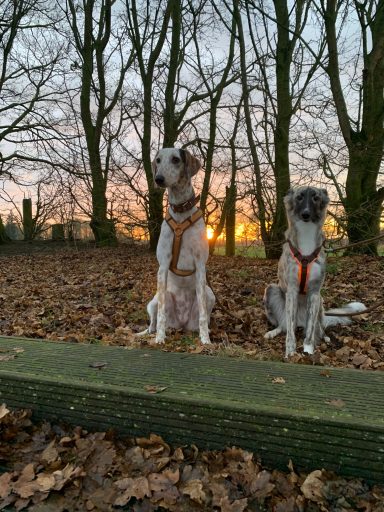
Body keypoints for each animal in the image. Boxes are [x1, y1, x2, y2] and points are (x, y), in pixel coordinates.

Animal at [264, 186, 366, 358]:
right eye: (299, 197)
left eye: (316, 198)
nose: (306, 214)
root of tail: (300, 321)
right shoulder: (291, 291)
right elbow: (289, 333)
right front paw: (290, 353)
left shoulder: (314, 292)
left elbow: (311, 331)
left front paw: (308, 350)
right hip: (272, 290)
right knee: (284, 325)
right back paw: (273, 332)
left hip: (320, 301)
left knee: (318, 327)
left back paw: (325, 337)